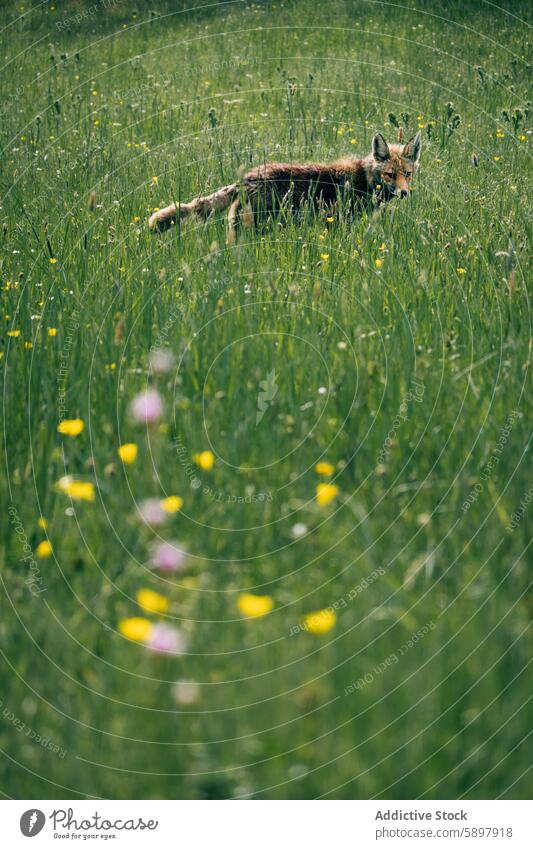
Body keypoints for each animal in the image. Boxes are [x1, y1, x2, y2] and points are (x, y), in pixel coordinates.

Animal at [149, 130, 420, 242]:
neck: (364, 180)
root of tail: (246, 178)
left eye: (407, 174)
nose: (405, 193)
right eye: (389, 175)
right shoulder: (338, 224)